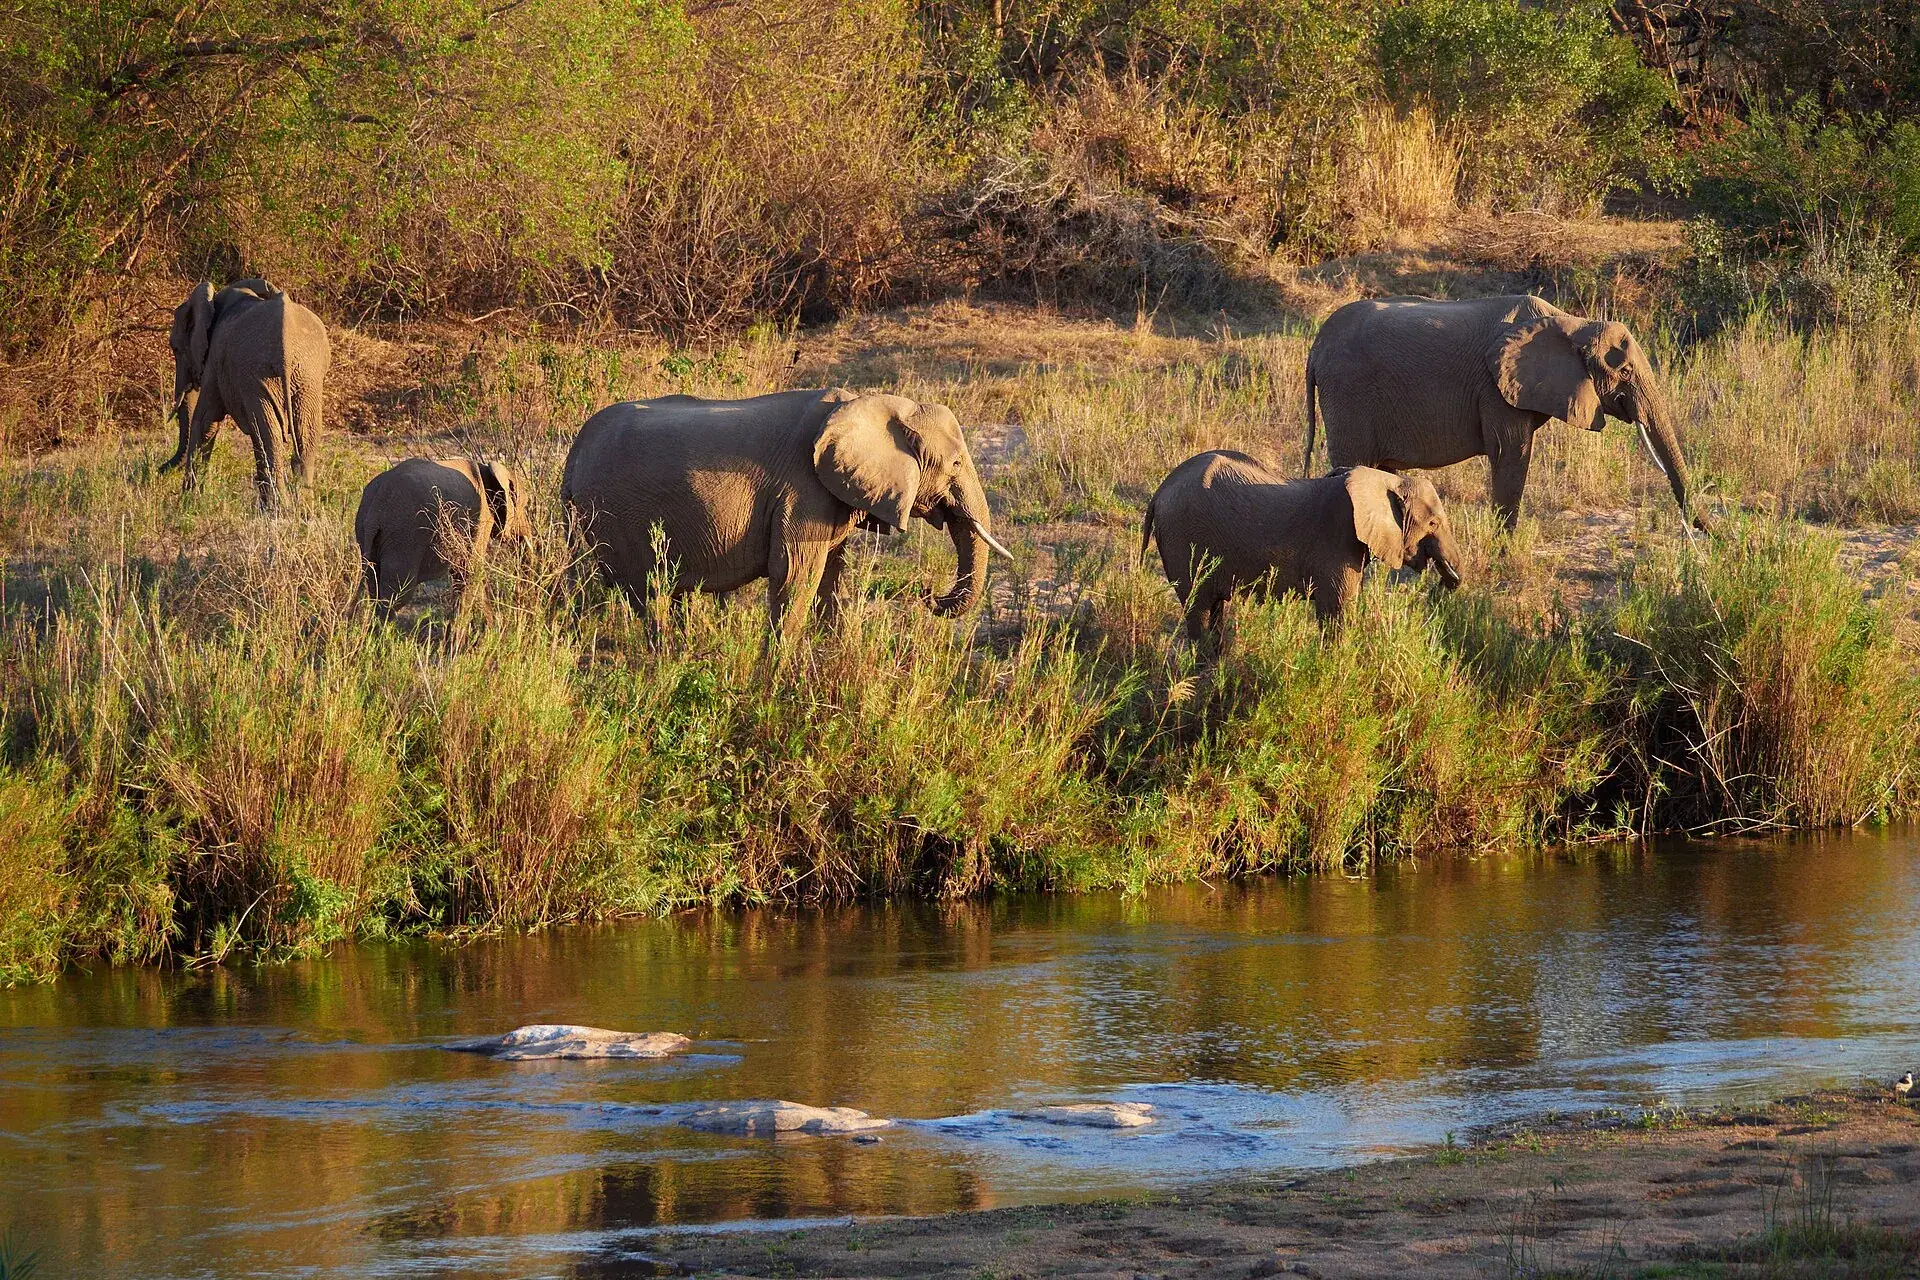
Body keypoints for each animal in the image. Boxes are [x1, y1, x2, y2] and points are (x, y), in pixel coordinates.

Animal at [159, 278, 331, 507]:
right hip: (307, 376)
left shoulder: (215, 362)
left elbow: (205, 421)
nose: (158, 470)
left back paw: (278, 509)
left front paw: (186, 504)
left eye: (175, 348)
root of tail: (287, 349)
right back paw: (300, 511)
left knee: (269, 435)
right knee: (305, 435)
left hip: (259, 373)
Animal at [354, 457, 533, 616]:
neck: (489, 469)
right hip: (403, 536)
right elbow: (470, 572)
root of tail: (377, 505)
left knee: (374, 587)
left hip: (368, 533)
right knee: (396, 597)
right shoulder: (481, 518)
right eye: (525, 506)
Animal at [560, 389, 1011, 640]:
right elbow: (796, 576)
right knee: (650, 593)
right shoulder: (802, 489)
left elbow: (831, 576)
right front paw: (775, 683)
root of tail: (574, 456)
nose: (929, 595)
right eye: (955, 465)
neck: (871, 402)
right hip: (617, 516)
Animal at [1142, 452, 1463, 641]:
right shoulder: (1337, 544)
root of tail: (1160, 490)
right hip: (1183, 537)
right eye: (1433, 524)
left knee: (1215, 607)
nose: (1446, 582)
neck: (1384, 480)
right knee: (1198, 606)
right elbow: (1336, 612)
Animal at [1303, 294, 1691, 530]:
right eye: (1624, 371)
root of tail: (1316, 347)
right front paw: (1503, 548)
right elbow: (1510, 455)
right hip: (1348, 393)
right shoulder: (1496, 389)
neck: (1571, 323)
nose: (1699, 530)